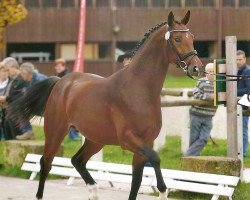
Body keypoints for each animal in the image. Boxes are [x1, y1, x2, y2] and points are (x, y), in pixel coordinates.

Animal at [8, 10, 203, 200]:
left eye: (192, 37)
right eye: (177, 39)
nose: (196, 68)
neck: (138, 89)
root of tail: (62, 81)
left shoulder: (144, 143)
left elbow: (136, 180)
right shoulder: (129, 139)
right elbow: (155, 158)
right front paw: (162, 191)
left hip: (96, 139)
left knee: (77, 161)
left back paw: (93, 191)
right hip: (56, 132)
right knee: (46, 163)